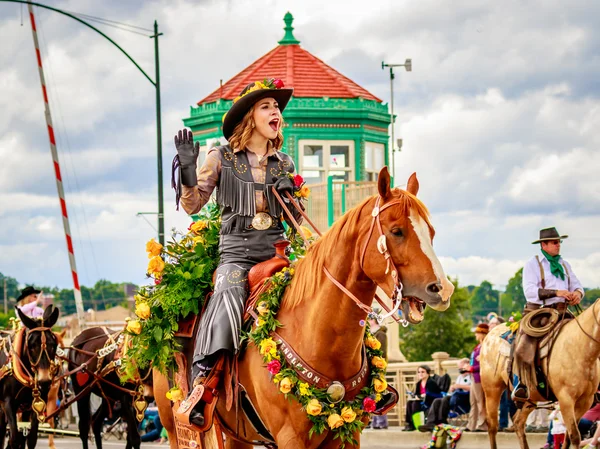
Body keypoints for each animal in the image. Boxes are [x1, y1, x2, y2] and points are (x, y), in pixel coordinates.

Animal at [0, 306, 60, 448]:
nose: (44, 381)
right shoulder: (7, 402)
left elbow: (31, 438)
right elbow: (14, 438)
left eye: (53, 344)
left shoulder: (37, 403)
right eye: (31, 346)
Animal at [152, 169, 452, 448]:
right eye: (397, 231)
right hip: (175, 427)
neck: (319, 336)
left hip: (237, 433)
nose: (442, 289)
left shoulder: (348, 433)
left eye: (431, 232)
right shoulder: (290, 436)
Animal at [480, 298, 600, 448]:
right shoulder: (566, 399)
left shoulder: (585, 401)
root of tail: (491, 333)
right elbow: (574, 436)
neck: (579, 346)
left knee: (518, 422)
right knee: (492, 426)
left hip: (530, 397)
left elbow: (568, 437)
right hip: (492, 389)